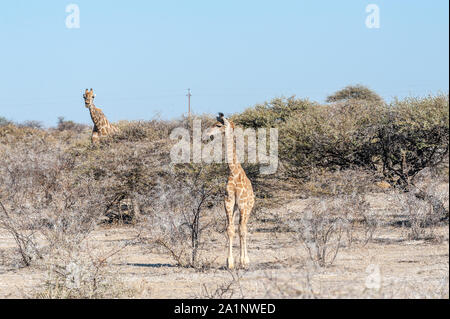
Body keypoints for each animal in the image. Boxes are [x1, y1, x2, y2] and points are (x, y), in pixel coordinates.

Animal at [206, 113, 255, 270]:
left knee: (244, 228)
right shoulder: (228, 202)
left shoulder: (242, 204)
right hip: (236, 207)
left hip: (248, 207)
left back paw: (246, 260)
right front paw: (230, 262)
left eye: (218, 125)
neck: (233, 171)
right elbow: (230, 229)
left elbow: (242, 230)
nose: (207, 134)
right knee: (239, 228)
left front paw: (243, 261)